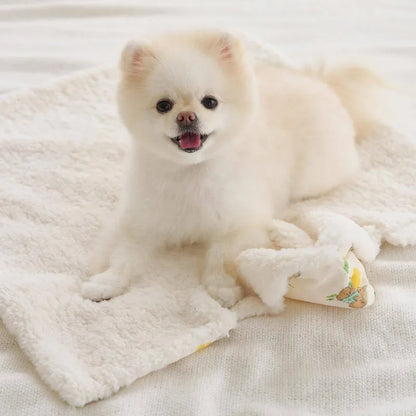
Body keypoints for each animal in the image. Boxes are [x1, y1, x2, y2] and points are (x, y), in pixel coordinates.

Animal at [81, 30, 386, 308]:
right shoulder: (141, 223)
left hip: (315, 177)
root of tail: (318, 80)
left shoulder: (240, 224)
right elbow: (123, 256)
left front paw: (221, 289)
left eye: (210, 102)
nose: (186, 116)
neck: (192, 172)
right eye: (163, 105)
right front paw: (105, 283)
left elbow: (221, 257)